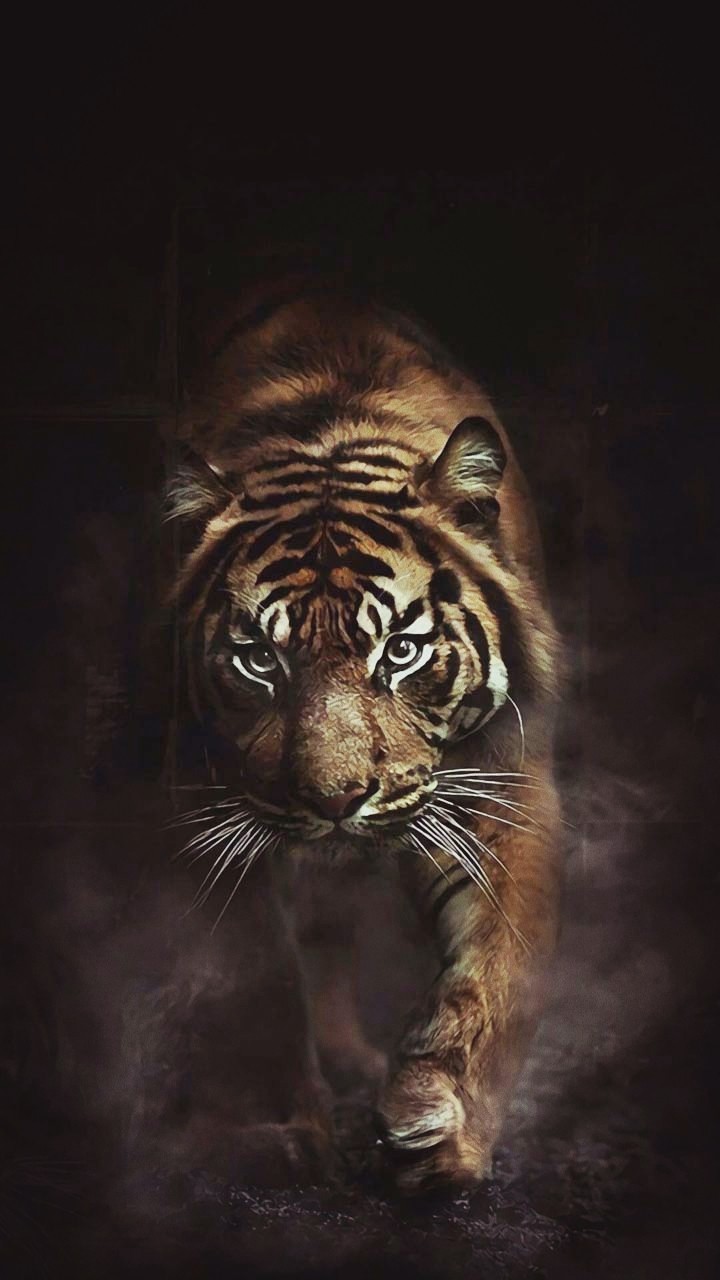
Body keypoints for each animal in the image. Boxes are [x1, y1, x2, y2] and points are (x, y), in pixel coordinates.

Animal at [163, 278, 563, 1194]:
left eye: (401, 651)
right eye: (258, 659)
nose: (336, 799)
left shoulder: (505, 781)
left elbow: (500, 964)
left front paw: (441, 1126)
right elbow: (255, 973)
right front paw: (281, 1134)